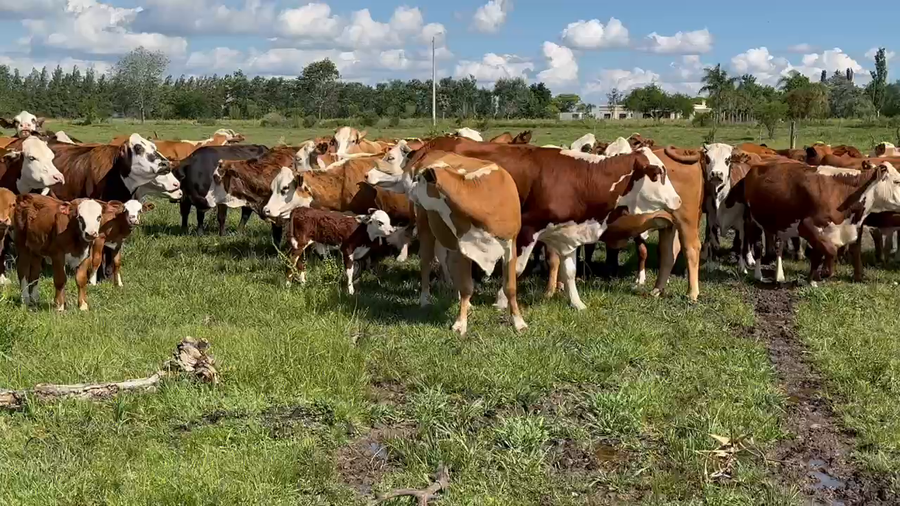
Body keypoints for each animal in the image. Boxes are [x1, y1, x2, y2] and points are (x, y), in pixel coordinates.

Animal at [734, 160, 900, 285]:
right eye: (897, 181)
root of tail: (755, 167)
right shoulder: (806, 225)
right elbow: (830, 250)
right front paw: (825, 273)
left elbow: (819, 253)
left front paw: (812, 279)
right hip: (752, 220)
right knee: (756, 245)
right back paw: (758, 275)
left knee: (778, 246)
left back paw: (779, 276)